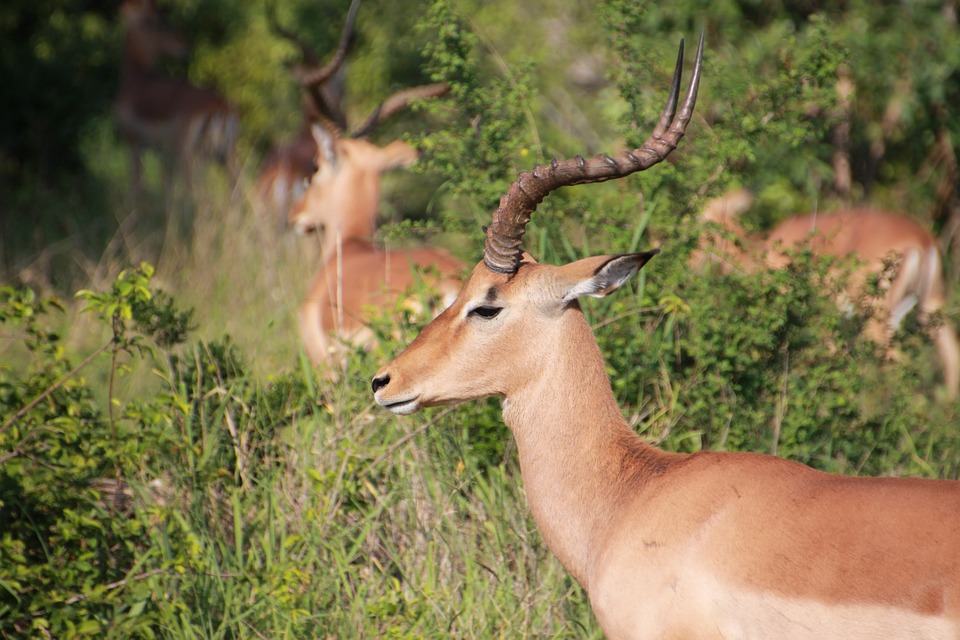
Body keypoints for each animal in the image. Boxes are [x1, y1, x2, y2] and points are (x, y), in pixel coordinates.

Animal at [116, 0, 238, 200]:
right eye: (156, 22)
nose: (184, 45)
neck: (137, 79)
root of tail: (220, 106)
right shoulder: (163, 153)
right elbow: (166, 187)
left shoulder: (133, 143)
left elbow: (136, 185)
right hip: (226, 154)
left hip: (189, 156)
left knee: (196, 193)